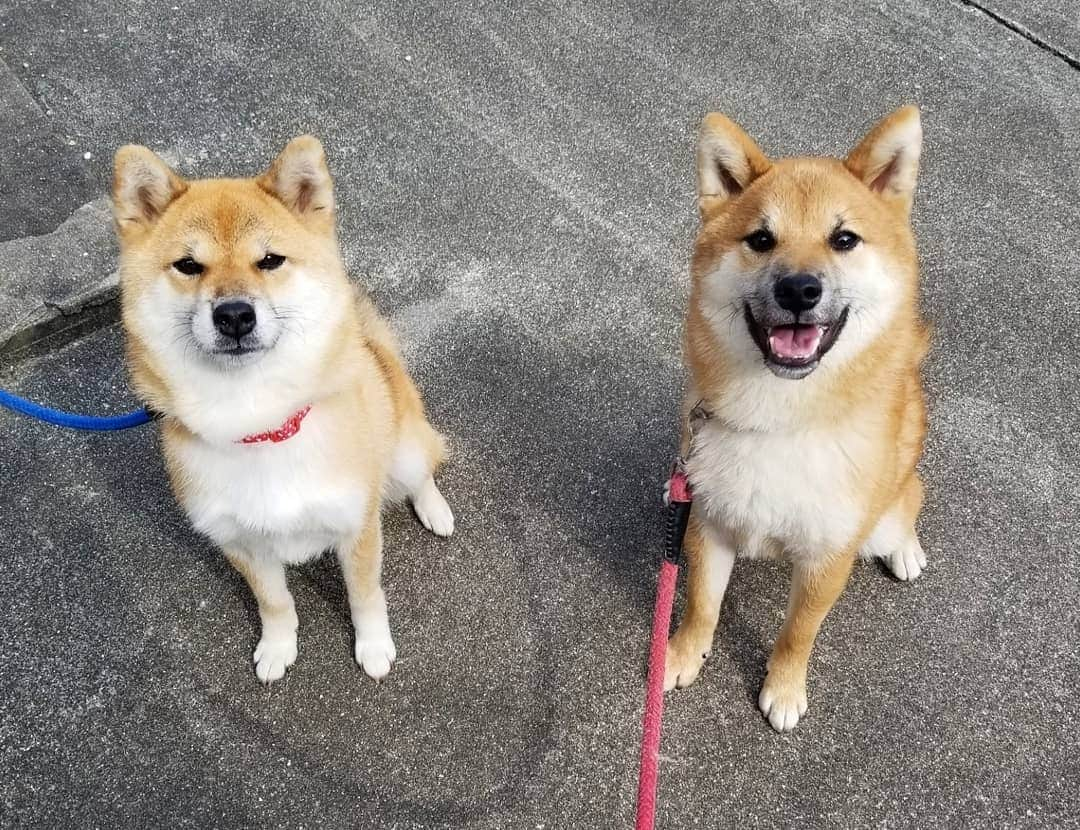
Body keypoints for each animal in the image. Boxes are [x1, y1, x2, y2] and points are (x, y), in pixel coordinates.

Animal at [108, 134, 447, 682]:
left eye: (270, 261)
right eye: (188, 265)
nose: (234, 315)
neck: (258, 424)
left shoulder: (357, 527)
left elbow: (365, 596)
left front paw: (374, 646)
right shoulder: (240, 544)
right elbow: (275, 603)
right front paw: (278, 647)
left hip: (404, 449)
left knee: (422, 471)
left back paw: (436, 509)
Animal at [665, 105, 928, 733]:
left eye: (844, 239)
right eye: (761, 240)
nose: (800, 289)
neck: (782, 419)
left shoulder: (827, 556)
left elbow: (797, 633)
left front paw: (783, 689)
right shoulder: (708, 520)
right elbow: (701, 606)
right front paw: (683, 655)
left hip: (887, 507)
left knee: (913, 498)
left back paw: (906, 549)